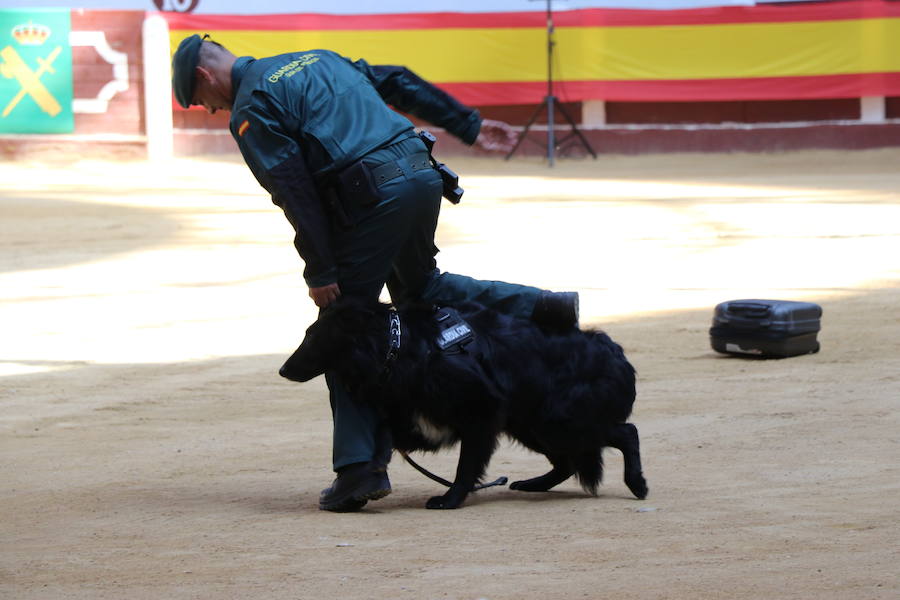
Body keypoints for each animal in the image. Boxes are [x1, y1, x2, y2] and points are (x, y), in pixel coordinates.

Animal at [282, 298, 648, 508]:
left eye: (312, 336)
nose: (282, 370)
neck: (400, 346)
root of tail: (617, 354)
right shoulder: (411, 410)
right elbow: (386, 433)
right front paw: (370, 473)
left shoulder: (481, 414)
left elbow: (465, 465)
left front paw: (451, 499)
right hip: (532, 425)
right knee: (568, 462)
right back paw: (533, 485)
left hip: (556, 421)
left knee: (625, 432)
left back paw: (637, 483)